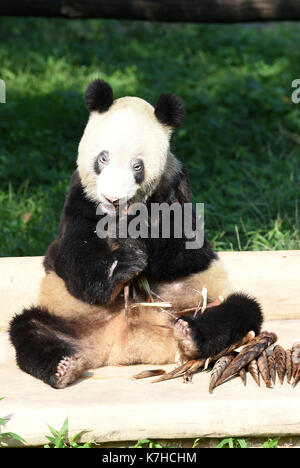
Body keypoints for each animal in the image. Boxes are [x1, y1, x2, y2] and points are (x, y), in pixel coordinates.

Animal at [8, 79, 262, 388]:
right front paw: (123, 264)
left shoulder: (175, 185)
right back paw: (63, 366)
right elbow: (72, 253)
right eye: (103, 158)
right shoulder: (79, 194)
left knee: (240, 309)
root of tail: (123, 345)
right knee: (29, 327)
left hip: (196, 302)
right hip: (67, 314)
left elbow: (187, 248)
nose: (112, 198)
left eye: (137, 166)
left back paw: (191, 336)